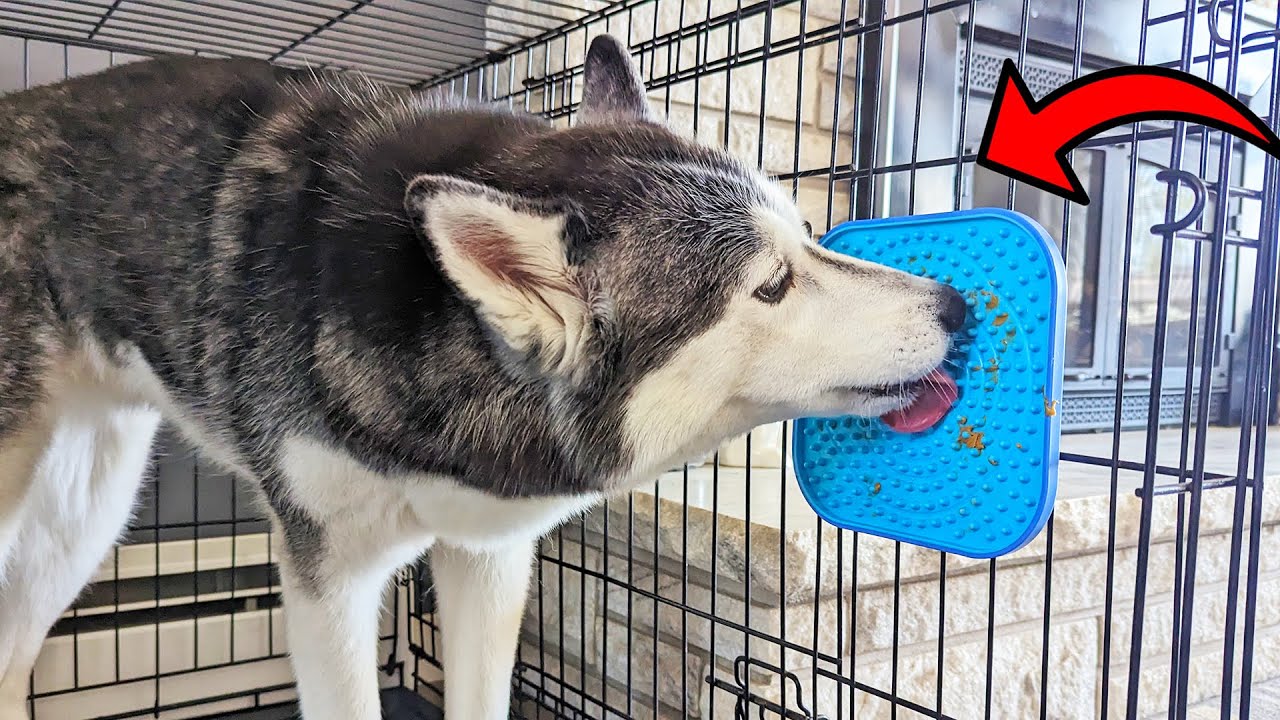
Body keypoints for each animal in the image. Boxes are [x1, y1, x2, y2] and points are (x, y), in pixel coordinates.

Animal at [0, 35, 962, 717]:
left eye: (806, 234)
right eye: (771, 284)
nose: (960, 307)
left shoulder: (490, 558)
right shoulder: (328, 583)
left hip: (84, 512)